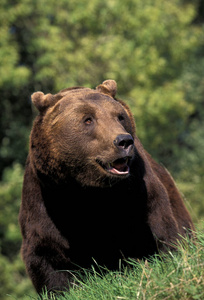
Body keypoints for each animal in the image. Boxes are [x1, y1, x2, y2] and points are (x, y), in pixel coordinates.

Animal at [18, 79, 194, 296]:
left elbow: (161, 228)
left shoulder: (138, 191)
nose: (123, 141)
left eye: (119, 116)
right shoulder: (45, 202)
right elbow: (46, 257)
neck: (89, 190)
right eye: (87, 119)